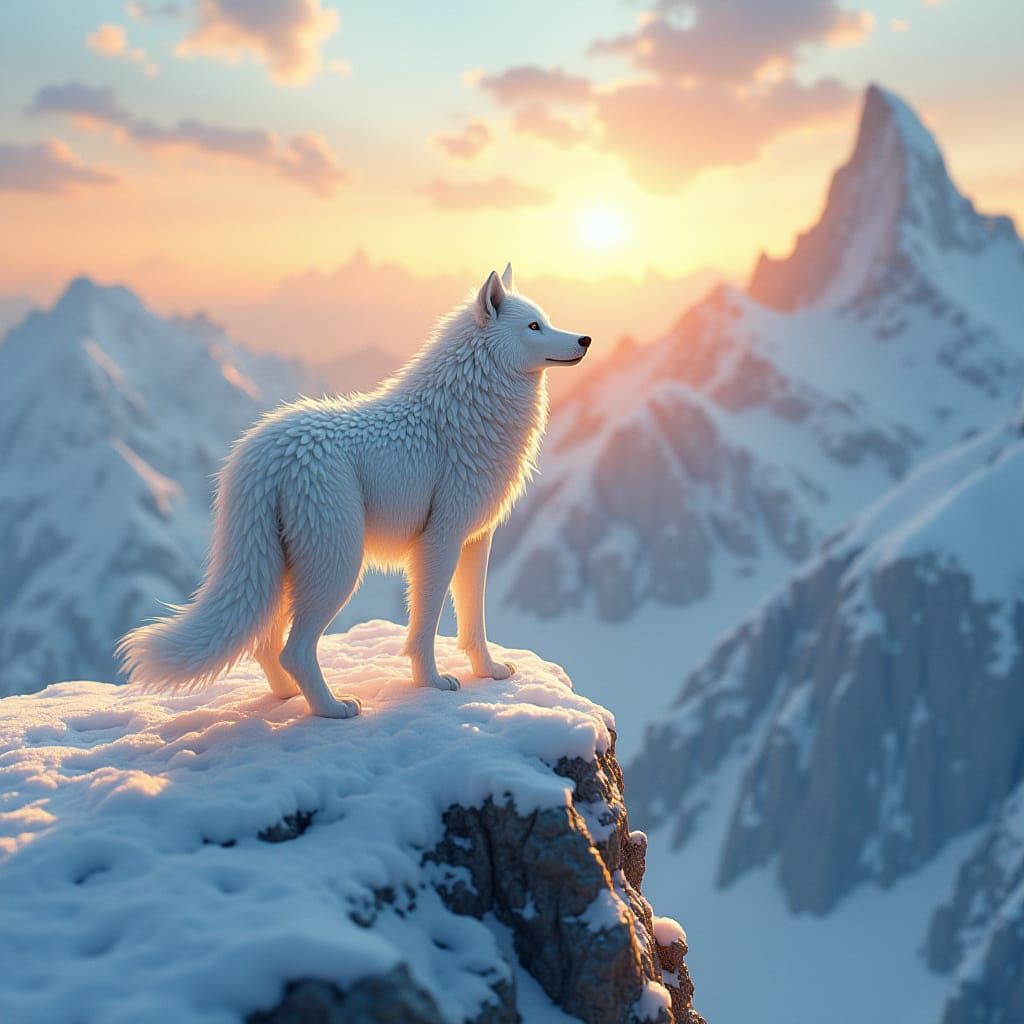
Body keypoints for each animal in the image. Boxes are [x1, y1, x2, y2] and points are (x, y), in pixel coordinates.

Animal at [118, 264, 591, 717]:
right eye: (533, 326)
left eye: (547, 320)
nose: (585, 339)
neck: (462, 411)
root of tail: (262, 452)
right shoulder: (439, 541)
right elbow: (425, 627)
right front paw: (432, 684)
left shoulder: (475, 540)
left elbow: (473, 624)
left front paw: (488, 672)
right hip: (338, 566)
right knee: (293, 649)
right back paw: (332, 709)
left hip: (283, 571)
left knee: (265, 646)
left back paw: (291, 698)